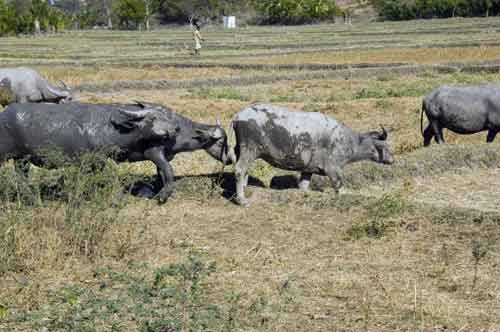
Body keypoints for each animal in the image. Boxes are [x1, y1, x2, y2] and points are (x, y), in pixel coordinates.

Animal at [0, 102, 229, 204]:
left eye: (168, 116)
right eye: (152, 119)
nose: (174, 129)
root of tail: (4, 114)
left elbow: (162, 174)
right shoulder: (152, 152)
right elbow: (167, 171)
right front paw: (160, 196)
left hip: (21, 160)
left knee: (22, 179)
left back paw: (32, 199)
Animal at [228, 103, 394, 205]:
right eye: (384, 145)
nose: (392, 160)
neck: (347, 141)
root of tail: (237, 116)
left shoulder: (307, 171)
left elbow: (303, 186)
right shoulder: (333, 170)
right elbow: (339, 187)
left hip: (243, 152)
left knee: (245, 171)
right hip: (249, 150)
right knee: (240, 170)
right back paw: (242, 200)